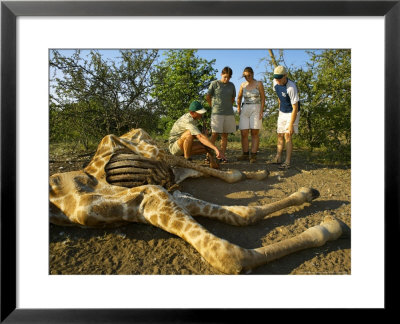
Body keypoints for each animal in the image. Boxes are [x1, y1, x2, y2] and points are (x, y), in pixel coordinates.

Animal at [49, 128, 350, 274]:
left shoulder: (151, 195)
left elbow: (229, 254)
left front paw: (330, 225)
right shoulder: (149, 200)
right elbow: (242, 219)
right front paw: (326, 223)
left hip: (157, 152)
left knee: (218, 169)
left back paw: (261, 172)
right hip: (167, 171)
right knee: (206, 173)